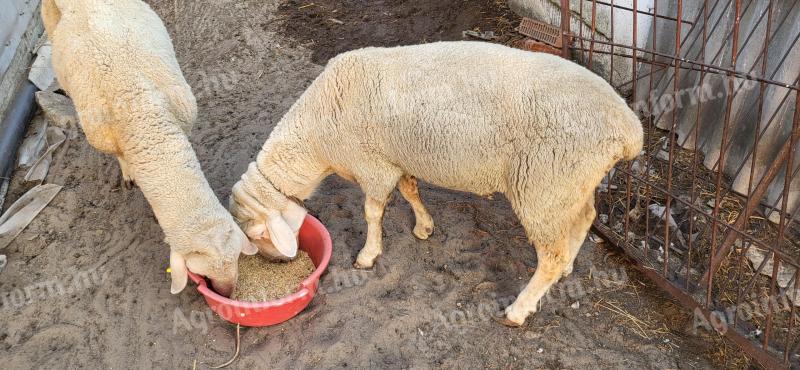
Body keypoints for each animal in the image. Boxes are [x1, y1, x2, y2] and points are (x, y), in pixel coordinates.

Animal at [228, 40, 640, 326]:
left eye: (257, 235)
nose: (276, 264)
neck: (315, 142)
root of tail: (627, 128)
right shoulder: (396, 159)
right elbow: (410, 190)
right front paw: (424, 227)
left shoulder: (373, 166)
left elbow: (372, 212)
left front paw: (368, 255)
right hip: (571, 184)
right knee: (585, 217)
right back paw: (569, 265)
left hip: (544, 184)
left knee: (550, 256)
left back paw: (520, 309)